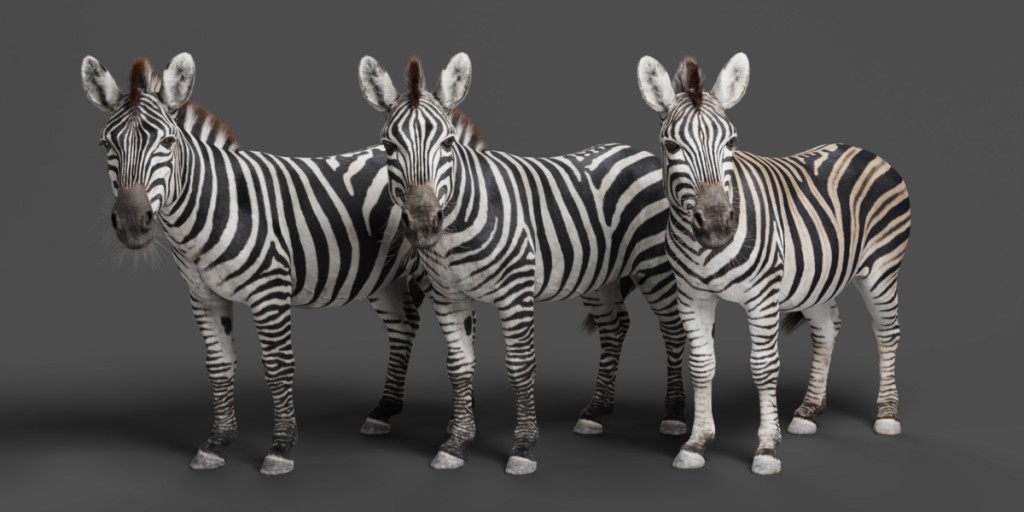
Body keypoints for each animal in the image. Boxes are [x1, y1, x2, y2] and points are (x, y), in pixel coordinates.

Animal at [80, 53, 485, 475]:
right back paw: (383, 411)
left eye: (167, 142)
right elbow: (219, 363)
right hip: (382, 277)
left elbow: (277, 366)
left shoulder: (269, 291)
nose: (131, 221)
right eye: (106, 144)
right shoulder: (204, 295)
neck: (214, 207)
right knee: (404, 327)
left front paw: (281, 447)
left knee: (463, 329)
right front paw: (217, 442)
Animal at [358, 53, 688, 475]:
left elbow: (520, 366)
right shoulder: (448, 296)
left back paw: (674, 414)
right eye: (388, 146)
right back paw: (596, 410)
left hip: (655, 267)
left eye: (447, 143)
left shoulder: (515, 295)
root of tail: (639, 153)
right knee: (615, 327)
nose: (422, 222)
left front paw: (524, 447)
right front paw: (455, 444)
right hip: (598, 274)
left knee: (673, 329)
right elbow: (459, 366)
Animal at [637, 52, 912, 475]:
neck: (707, 251)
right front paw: (696, 443)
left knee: (887, 333)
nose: (717, 225)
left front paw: (766, 449)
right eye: (671, 144)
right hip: (818, 278)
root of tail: (864, 149)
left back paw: (887, 413)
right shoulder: (691, 297)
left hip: (882, 269)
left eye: (731, 141)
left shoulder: (762, 298)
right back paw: (808, 411)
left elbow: (764, 368)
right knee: (828, 329)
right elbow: (701, 365)